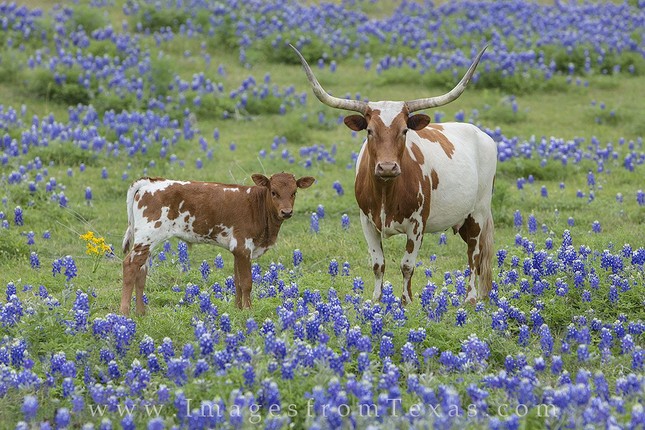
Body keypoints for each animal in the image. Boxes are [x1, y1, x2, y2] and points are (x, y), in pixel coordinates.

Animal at [121, 172, 314, 316]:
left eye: (294, 192)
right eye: (274, 192)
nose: (286, 212)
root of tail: (151, 182)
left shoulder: (237, 250)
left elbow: (237, 282)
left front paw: (238, 310)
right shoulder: (244, 247)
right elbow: (246, 282)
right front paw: (248, 311)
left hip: (148, 241)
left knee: (142, 271)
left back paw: (141, 313)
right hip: (148, 236)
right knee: (130, 265)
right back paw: (124, 313)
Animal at [294, 45, 498, 304]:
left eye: (404, 130)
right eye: (370, 130)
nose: (387, 167)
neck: (385, 191)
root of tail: (482, 134)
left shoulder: (418, 224)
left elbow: (407, 265)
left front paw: (405, 302)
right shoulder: (366, 221)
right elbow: (378, 264)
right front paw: (378, 300)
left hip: (478, 213)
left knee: (474, 255)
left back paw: (470, 299)